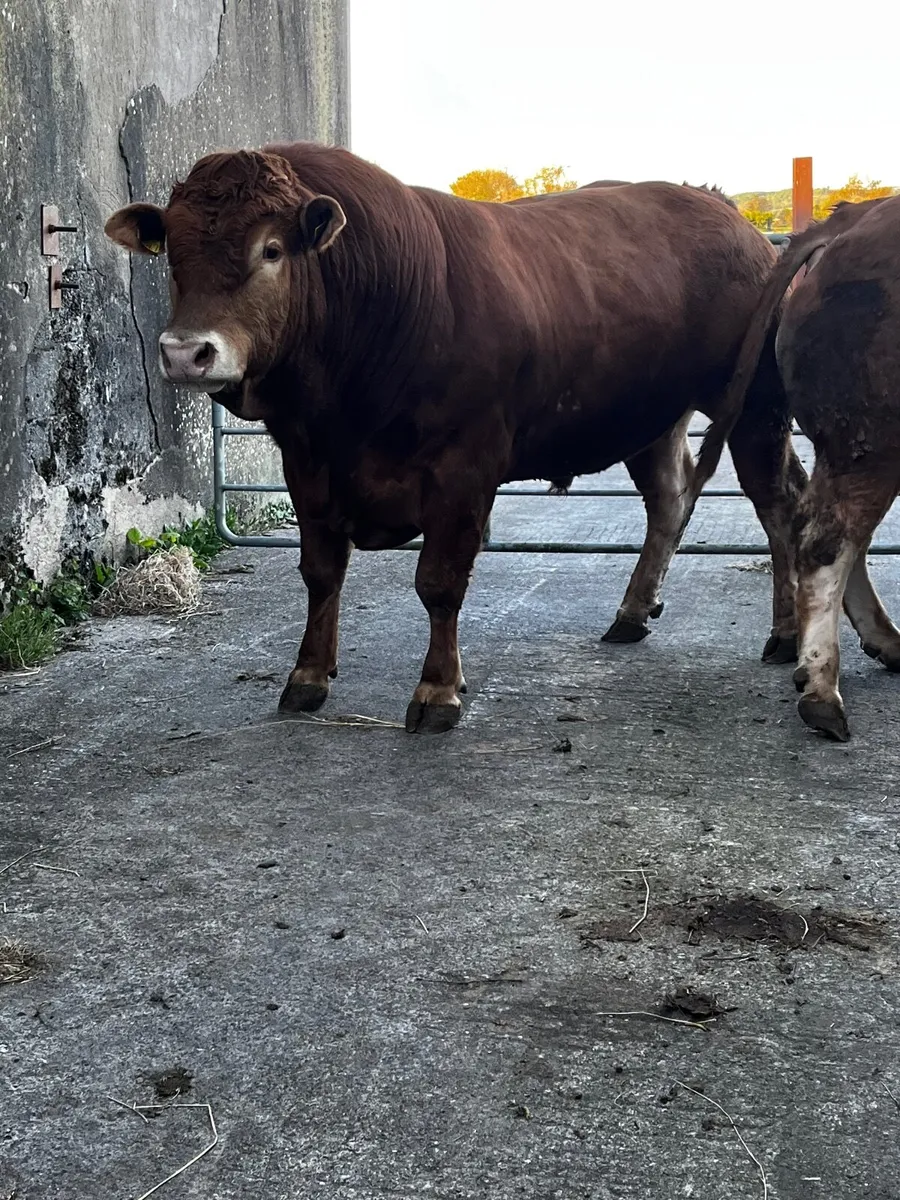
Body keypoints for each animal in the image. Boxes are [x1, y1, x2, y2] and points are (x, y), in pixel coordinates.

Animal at [104, 142, 802, 733]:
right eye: (174, 254)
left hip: (757, 406)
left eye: (271, 250)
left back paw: (788, 633)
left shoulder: (463, 470)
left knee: (780, 505)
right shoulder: (308, 465)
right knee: (669, 500)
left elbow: (439, 582)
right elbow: (322, 574)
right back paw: (633, 613)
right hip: (653, 417)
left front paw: (437, 689)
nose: (186, 353)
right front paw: (308, 675)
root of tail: (720, 205)